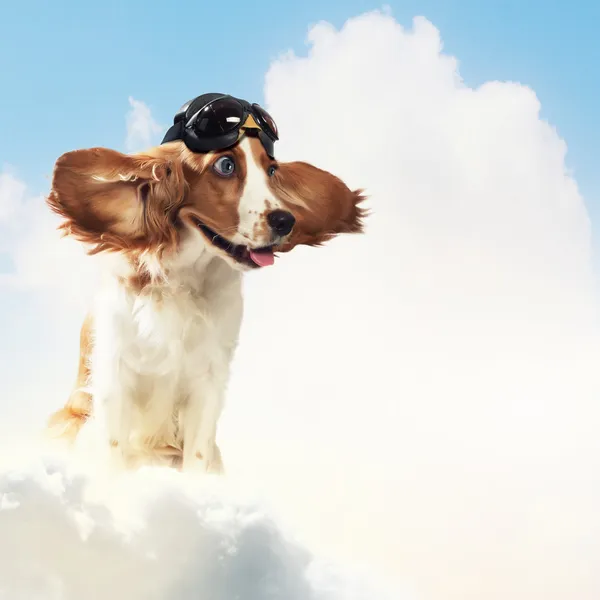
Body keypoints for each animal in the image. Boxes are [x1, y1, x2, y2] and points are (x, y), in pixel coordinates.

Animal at [45, 97, 366, 474]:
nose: (286, 220)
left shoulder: (208, 381)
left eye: (271, 171)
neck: (183, 278)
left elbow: (197, 456)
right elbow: (114, 455)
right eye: (225, 166)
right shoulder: (115, 376)